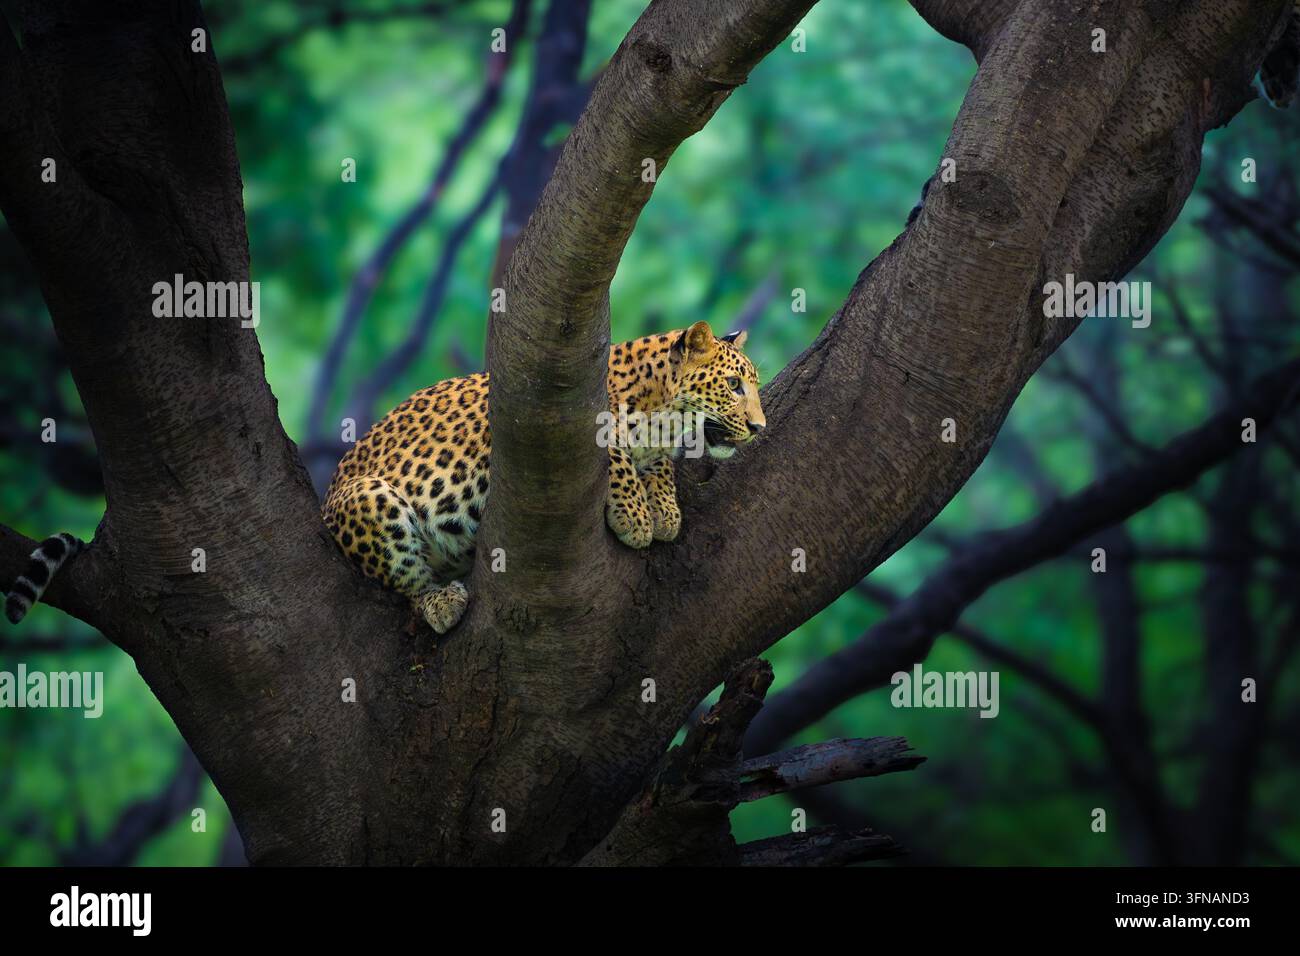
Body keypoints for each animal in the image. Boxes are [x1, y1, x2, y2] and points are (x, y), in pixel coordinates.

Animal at [320, 320, 765, 634]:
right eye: (733, 385)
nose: (759, 427)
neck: (661, 412)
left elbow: (658, 465)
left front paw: (664, 509)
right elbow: (616, 456)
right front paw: (635, 517)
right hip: (369, 498)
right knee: (405, 580)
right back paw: (441, 603)